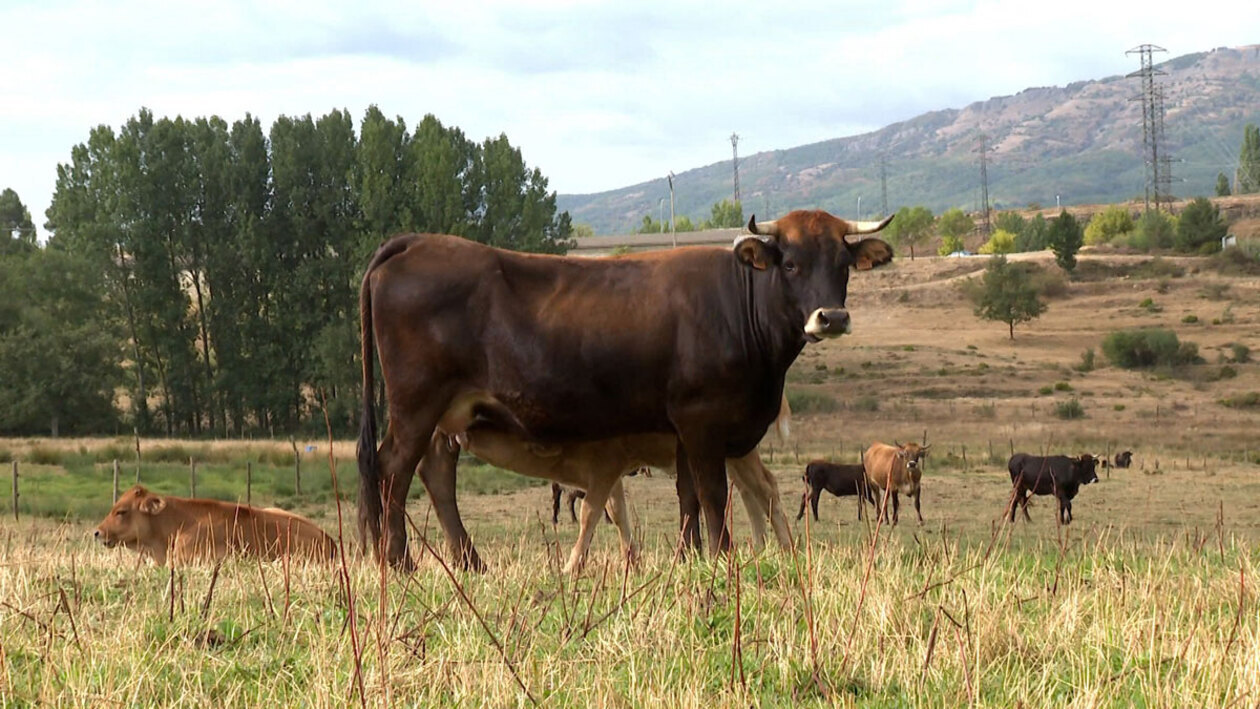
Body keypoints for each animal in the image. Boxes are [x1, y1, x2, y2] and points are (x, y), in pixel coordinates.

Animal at [356, 209, 894, 571]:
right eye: (791, 264)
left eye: (842, 263)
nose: (832, 317)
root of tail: (416, 242)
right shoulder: (704, 423)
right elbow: (712, 493)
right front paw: (721, 558)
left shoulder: (681, 428)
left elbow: (687, 497)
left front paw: (688, 559)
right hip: (416, 404)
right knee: (392, 470)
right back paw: (398, 562)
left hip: (451, 413)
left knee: (434, 473)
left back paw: (470, 563)